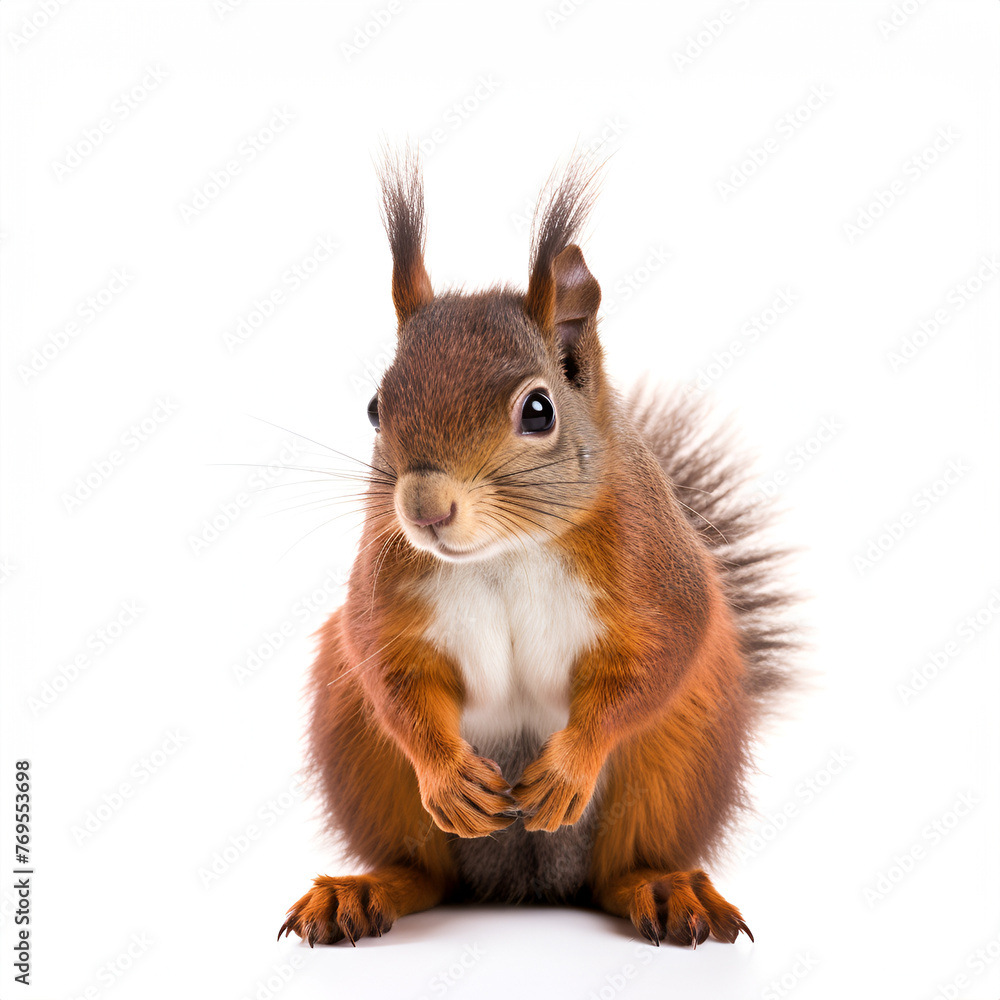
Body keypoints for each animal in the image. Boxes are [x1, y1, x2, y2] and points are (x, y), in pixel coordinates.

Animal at [278, 150, 796, 948]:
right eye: (374, 407)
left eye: (539, 410)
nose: (424, 508)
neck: (506, 551)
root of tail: (527, 884)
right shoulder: (385, 589)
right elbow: (391, 674)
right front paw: (447, 775)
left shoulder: (656, 572)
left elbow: (654, 661)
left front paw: (570, 765)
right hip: (359, 744)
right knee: (424, 870)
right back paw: (364, 890)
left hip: (678, 754)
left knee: (621, 866)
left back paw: (664, 887)